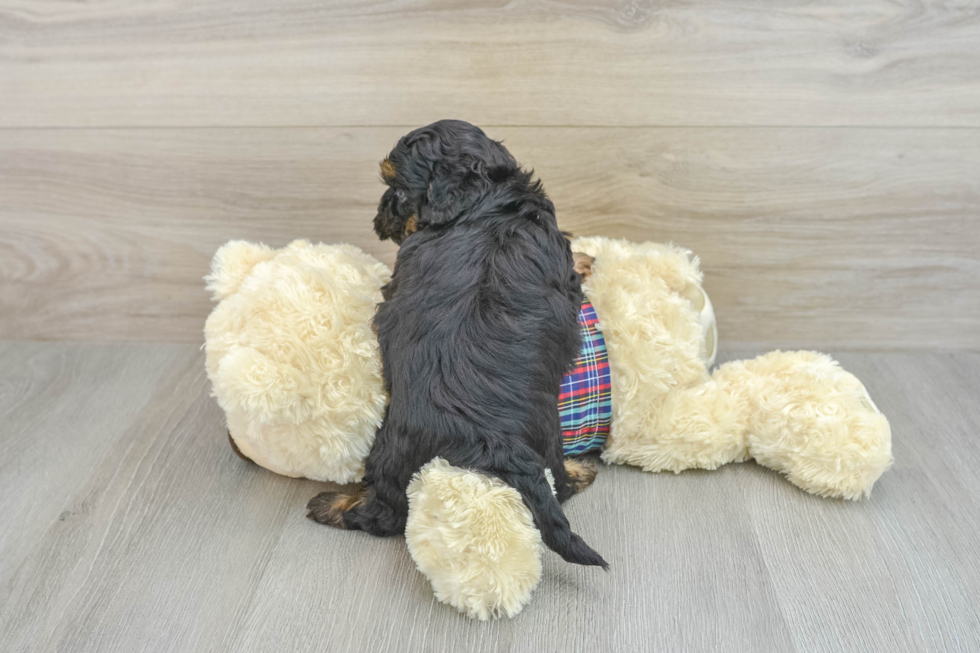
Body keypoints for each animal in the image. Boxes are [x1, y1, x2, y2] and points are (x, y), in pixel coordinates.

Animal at [310, 119, 608, 568]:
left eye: (398, 191)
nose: (380, 214)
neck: (487, 204)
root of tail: (485, 438)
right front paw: (586, 259)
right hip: (544, 435)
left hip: (397, 450)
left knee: (382, 511)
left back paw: (332, 505)